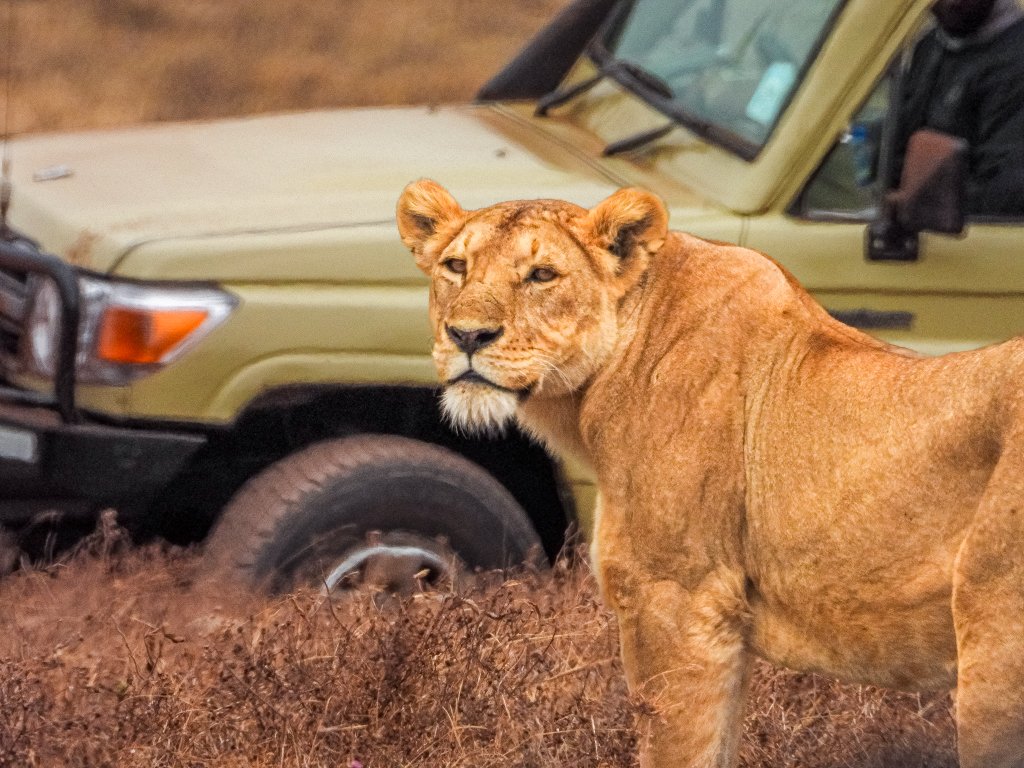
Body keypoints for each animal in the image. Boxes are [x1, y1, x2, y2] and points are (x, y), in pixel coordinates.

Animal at [396, 179, 1024, 768]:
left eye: (542, 275)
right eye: (456, 266)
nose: (467, 336)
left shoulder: (679, 602)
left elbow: (676, 749)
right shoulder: (723, 624)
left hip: (996, 662)